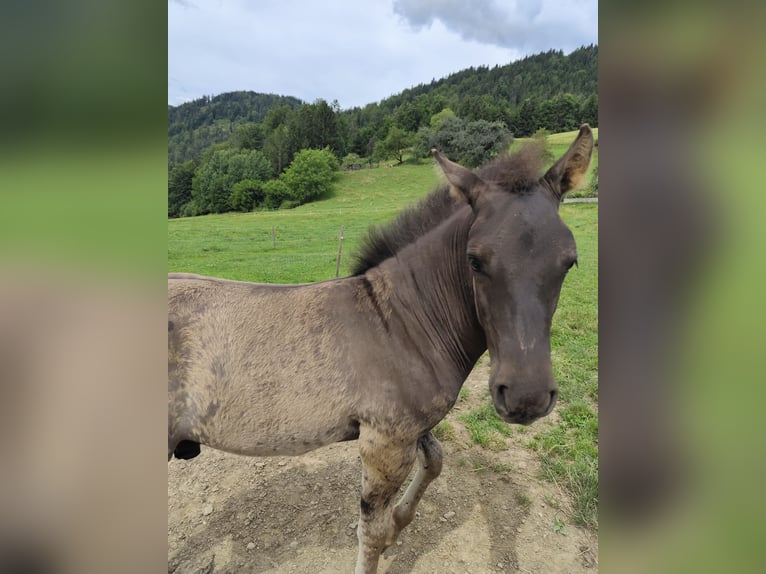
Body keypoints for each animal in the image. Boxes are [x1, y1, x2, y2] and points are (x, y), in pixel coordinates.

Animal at [171, 125, 596, 572]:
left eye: (569, 261)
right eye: (474, 261)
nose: (526, 398)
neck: (400, 322)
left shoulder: (414, 426)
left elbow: (435, 461)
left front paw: (398, 525)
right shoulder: (384, 442)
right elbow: (370, 531)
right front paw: (387, 533)